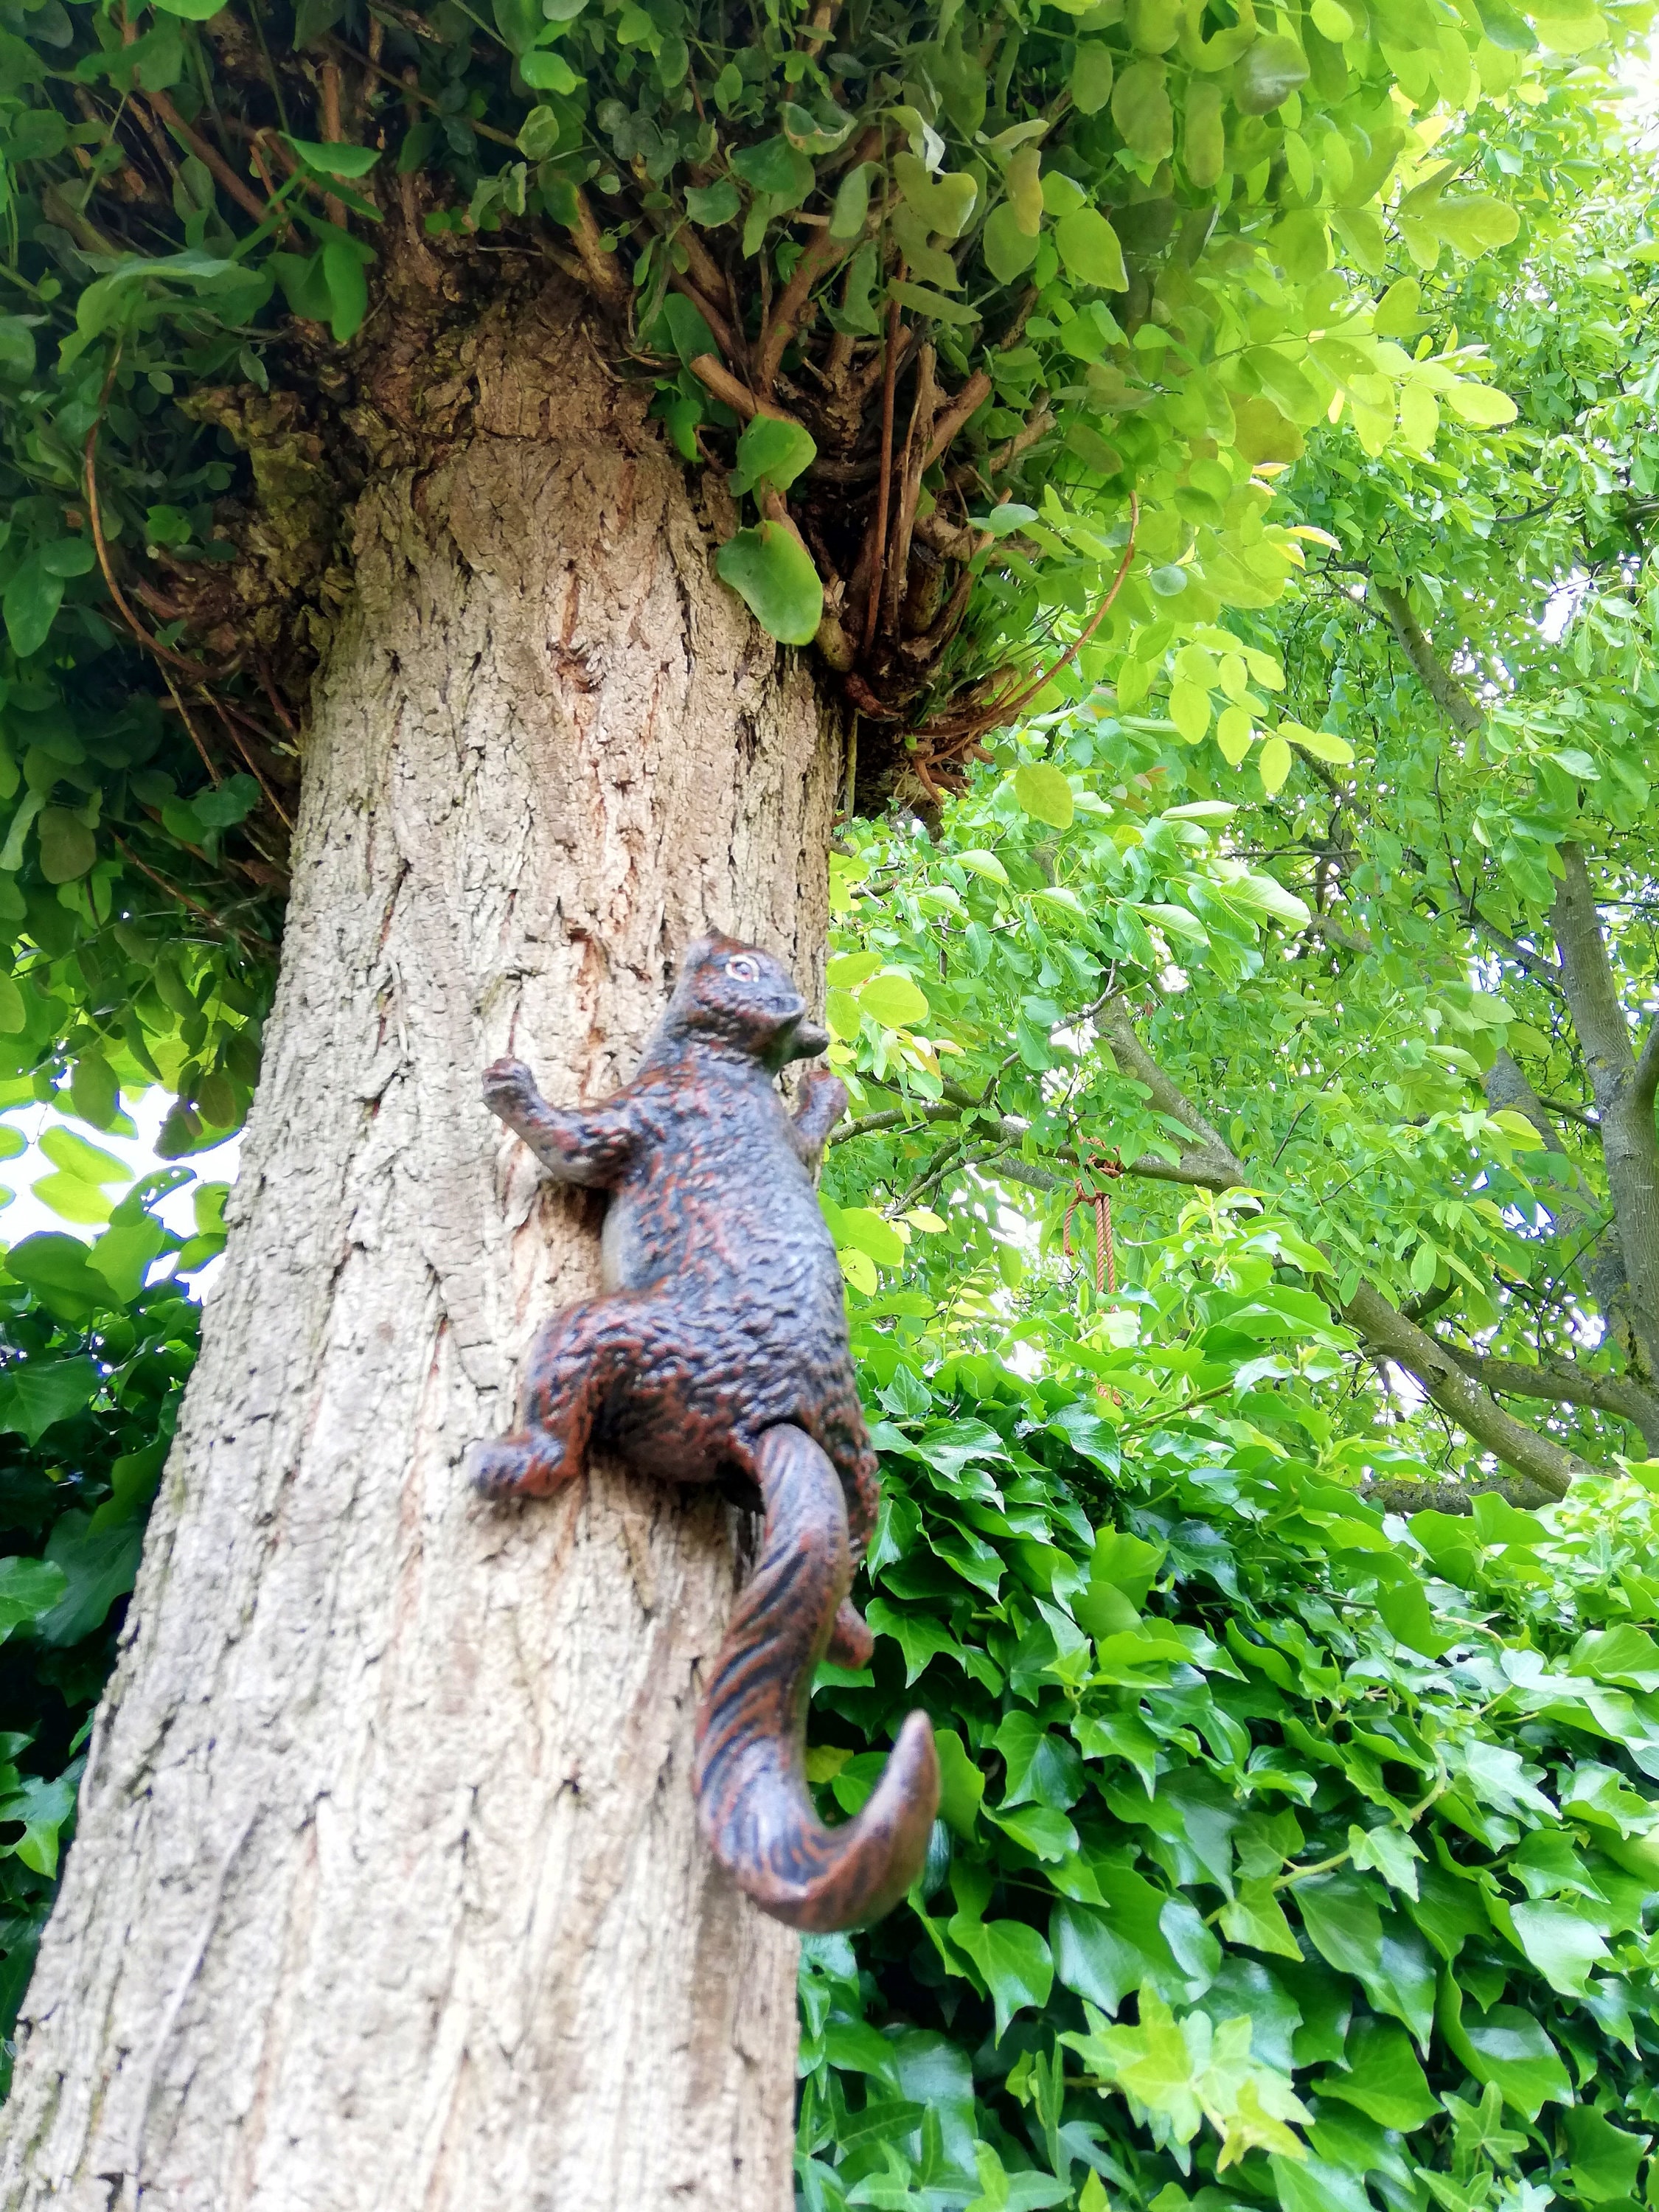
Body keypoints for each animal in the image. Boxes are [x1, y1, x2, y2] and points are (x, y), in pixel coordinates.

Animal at [471, 933, 939, 1931]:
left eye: (739, 971)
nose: (709, 941)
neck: (725, 1069)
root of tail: (773, 1419)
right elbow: (805, 1141)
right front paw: (825, 1095)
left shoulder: (645, 1115)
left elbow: (571, 1140)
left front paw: (509, 1082)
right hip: (859, 1470)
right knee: (856, 1587)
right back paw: (848, 1627)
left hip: (603, 1332)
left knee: (560, 1431)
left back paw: (509, 1461)